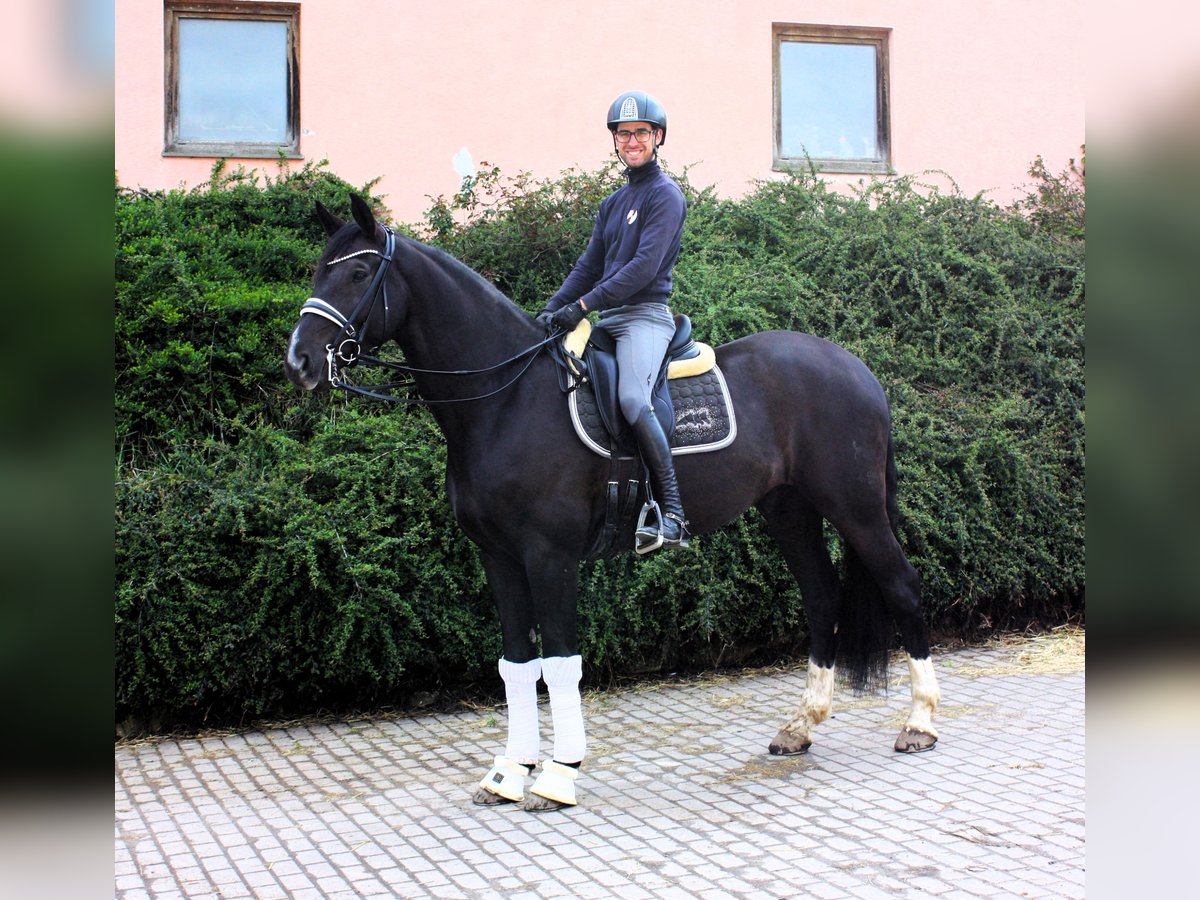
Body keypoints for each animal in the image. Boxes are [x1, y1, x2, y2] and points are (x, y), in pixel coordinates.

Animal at [285, 194, 940, 816]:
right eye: (319, 269)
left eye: (360, 271)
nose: (300, 361)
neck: (506, 400)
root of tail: (854, 367)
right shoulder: (500, 559)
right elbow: (516, 664)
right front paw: (508, 774)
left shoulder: (549, 557)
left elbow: (559, 662)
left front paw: (557, 776)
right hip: (790, 510)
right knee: (822, 595)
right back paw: (801, 727)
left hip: (855, 506)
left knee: (902, 586)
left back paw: (920, 723)